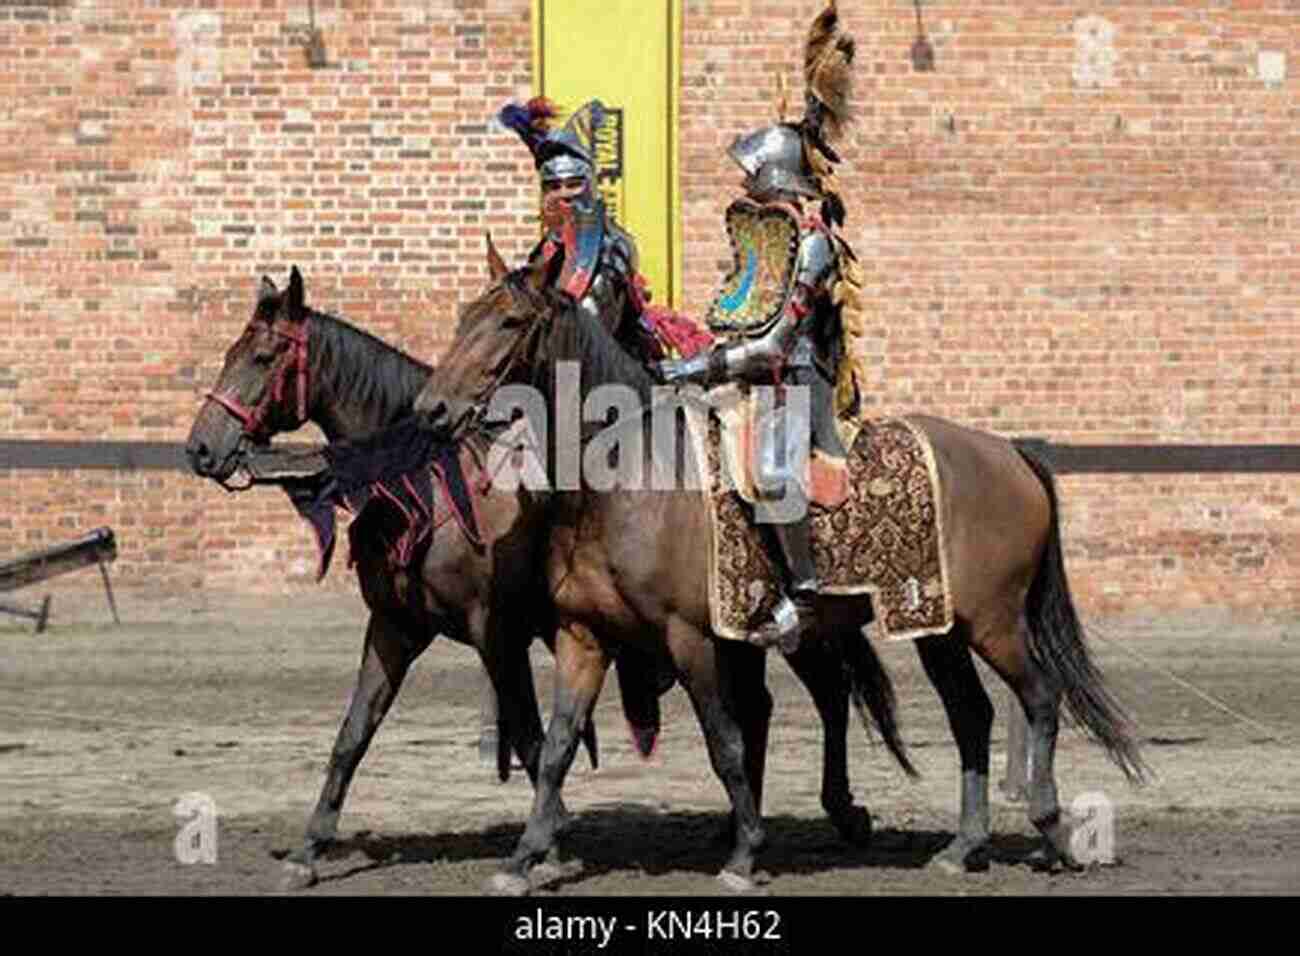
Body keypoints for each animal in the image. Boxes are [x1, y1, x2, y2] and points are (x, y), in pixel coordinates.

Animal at [413, 251, 1149, 894]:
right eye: (464, 316)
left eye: (509, 322)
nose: (431, 409)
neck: (625, 474)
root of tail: (1010, 453)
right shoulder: (583, 637)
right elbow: (558, 748)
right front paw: (525, 857)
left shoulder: (692, 639)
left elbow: (726, 742)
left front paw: (744, 853)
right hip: (935, 624)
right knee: (971, 715)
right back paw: (962, 847)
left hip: (992, 621)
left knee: (1041, 697)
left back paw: (1050, 829)